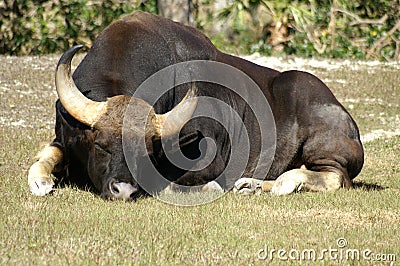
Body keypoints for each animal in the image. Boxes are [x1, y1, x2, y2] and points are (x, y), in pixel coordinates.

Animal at [27, 11, 362, 201]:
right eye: (100, 145)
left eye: (147, 151)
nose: (124, 191)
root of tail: (350, 125)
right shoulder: (64, 137)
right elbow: (44, 156)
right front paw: (42, 181)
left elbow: (173, 184)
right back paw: (251, 186)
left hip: (323, 148)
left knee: (336, 177)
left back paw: (283, 183)